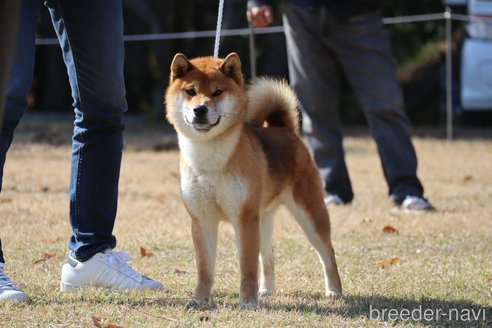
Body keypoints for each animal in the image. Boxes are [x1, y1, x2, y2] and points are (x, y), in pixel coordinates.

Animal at [165, 52, 342, 308]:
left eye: (217, 92)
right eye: (191, 91)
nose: (200, 109)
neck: (208, 158)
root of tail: (283, 129)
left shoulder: (244, 218)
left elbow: (247, 267)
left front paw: (248, 301)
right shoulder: (202, 220)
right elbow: (204, 269)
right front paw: (199, 299)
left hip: (309, 214)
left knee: (327, 253)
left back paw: (334, 290)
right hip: (264, 219)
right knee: (269, 256)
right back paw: (267, 289)